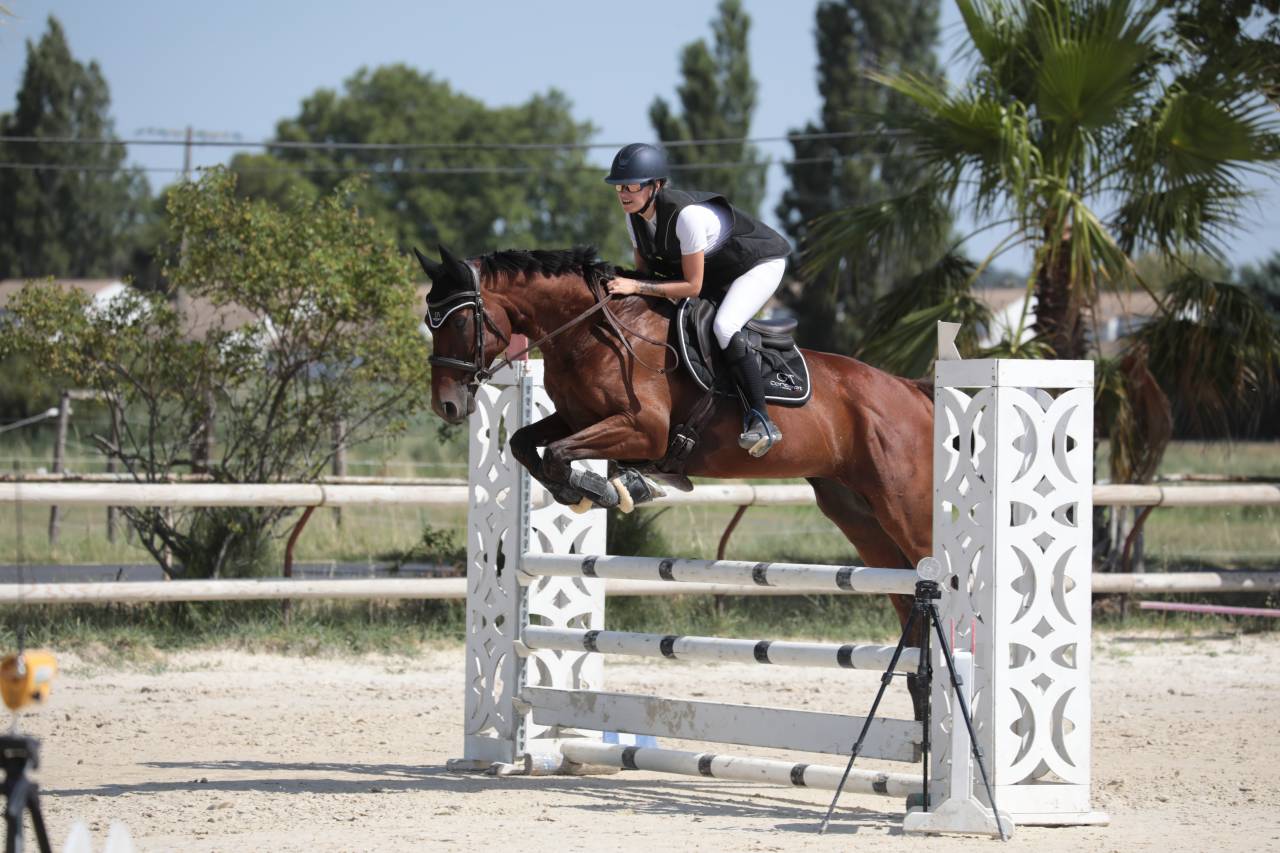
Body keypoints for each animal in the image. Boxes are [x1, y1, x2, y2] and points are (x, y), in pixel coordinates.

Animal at [416, 244, 936, 712]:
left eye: (459, 322)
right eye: (429, 322)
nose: (447, 406)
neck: (590, 331)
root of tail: (911, 390)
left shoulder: (642, 430)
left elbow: (559, 455)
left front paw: (609, 489)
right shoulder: (575, 418)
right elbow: (526, 444)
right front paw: (598, 490)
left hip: (904, 509)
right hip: (858, 517)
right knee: (904, 597)